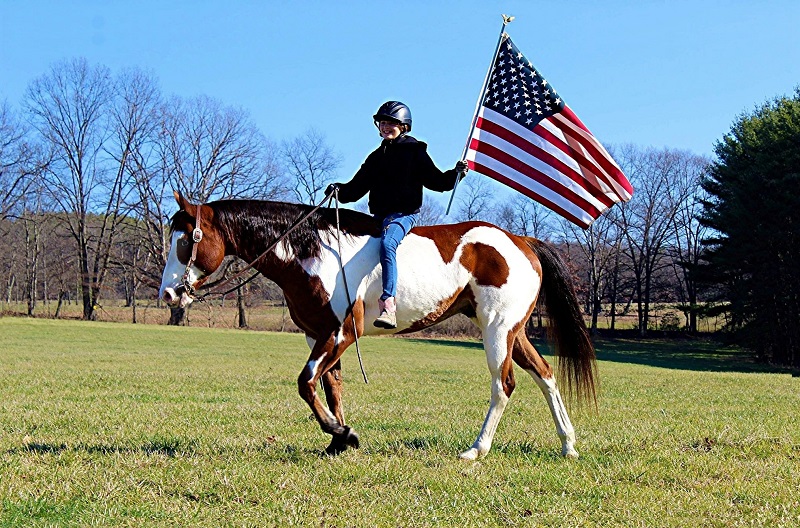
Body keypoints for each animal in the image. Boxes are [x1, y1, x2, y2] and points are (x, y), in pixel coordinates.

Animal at [159, 191, 596, 460]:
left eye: (186, 239)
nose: (168, 293)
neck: (313, 251)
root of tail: (521, 240)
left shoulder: (340, 332)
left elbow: (306, 383)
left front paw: (343, 434)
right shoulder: (318, 334)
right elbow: (330, 387)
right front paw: (339, 439)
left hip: (497, 331)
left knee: (503, 386)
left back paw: (477, 449)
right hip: (513, 333)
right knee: (546, 375)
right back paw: (568, 445)